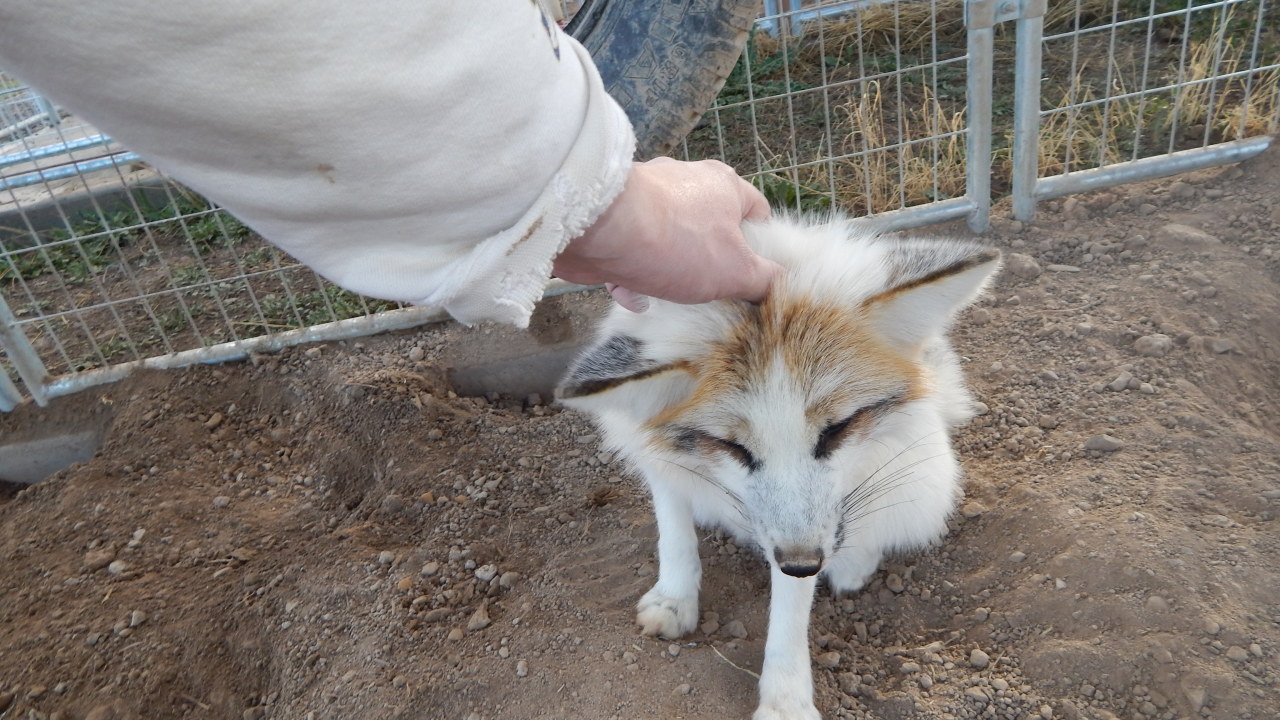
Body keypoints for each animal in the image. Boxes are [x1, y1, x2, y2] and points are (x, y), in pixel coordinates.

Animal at [555, 212, 1003, 717]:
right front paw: (674, 599)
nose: (803, 564)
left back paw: (853, 566)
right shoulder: (655, 450)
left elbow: (790, 611)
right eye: (733, 448)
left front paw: (785, 700)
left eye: (837, 429)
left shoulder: (807, 536)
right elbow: (674, 534)